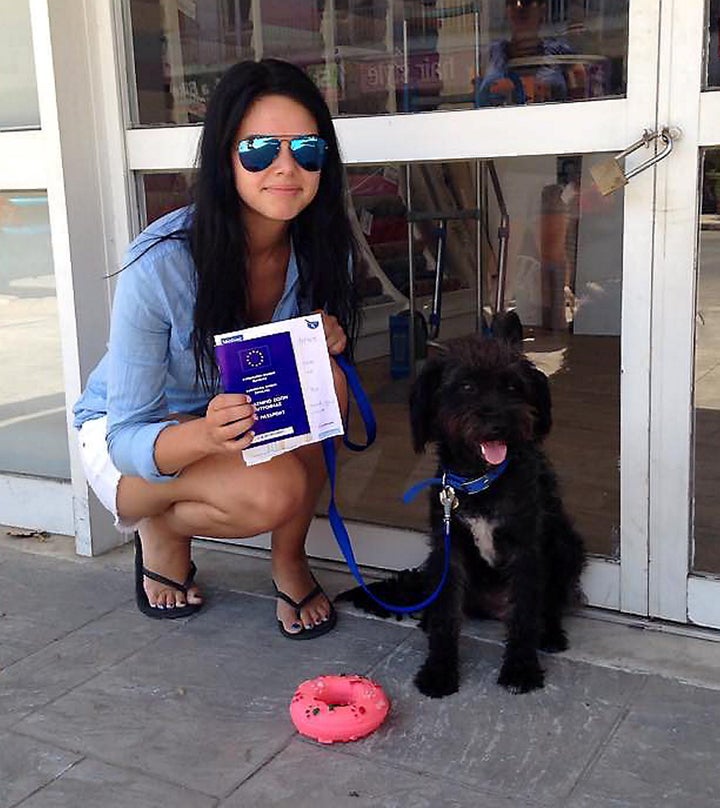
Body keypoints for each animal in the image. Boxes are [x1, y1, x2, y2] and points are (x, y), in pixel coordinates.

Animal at [338, 312, 584, 696]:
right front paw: (439, 671)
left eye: (512, 387)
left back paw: (551, 633)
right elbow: (445, 617)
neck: (480, 481)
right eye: (466, 386)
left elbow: (526, 612)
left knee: (552, 601)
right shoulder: (448, 549)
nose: (498, 423)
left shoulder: (526, 550)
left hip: (566, 545)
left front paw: (521, 668)